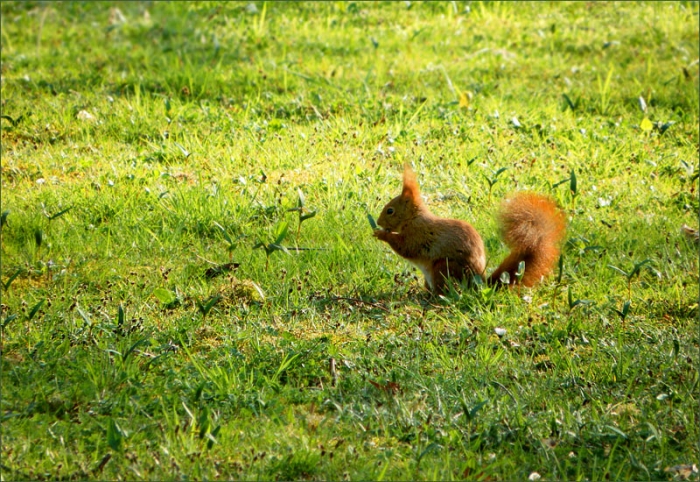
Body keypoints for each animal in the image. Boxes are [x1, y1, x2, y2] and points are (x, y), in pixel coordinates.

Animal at [373, 165, 566, 294]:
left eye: (390, 210)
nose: (378, 221)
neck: (413, 218)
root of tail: (479, 284)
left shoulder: (418, 234)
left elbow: (406, 247)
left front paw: (381, 234)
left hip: (444, 268)